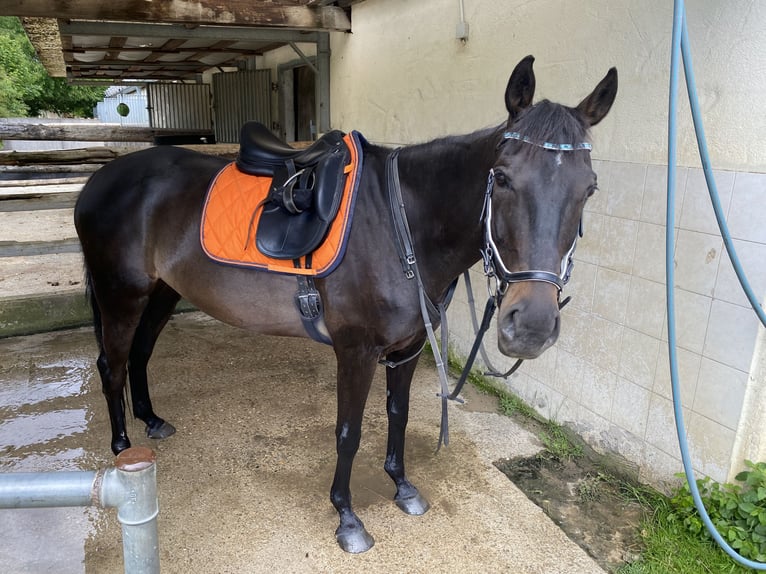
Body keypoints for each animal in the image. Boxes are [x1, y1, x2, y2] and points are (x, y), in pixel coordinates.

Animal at [75, 56, 616, 556]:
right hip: (121, 293)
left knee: (140, 354)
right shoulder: (356, 351)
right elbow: (348, 432)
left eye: (589, 188)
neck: (403, 224)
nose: (532, 326)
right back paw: (122, 445)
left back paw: (151, 420)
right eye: (501, 178)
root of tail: (101, 179)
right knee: (112, 363)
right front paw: (348, 518)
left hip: (163, 291)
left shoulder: (408, 347)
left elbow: (397, 414)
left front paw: (403, 486)